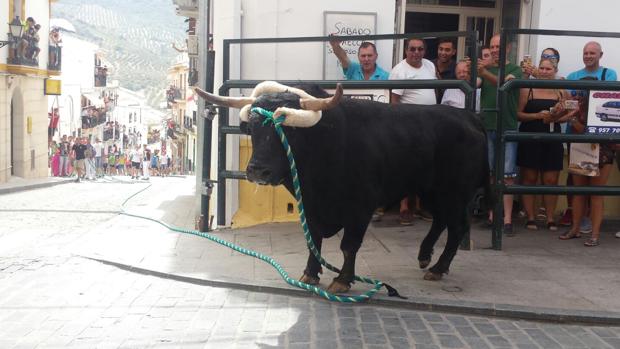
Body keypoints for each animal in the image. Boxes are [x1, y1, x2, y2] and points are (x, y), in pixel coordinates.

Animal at [199, 85, 490, 294]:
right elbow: (313, 239)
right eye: (251, 129)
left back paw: (438, 267)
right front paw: (310, 273)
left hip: (455, 192)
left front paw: (342, 279)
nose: (257, 170)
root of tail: (467, 116)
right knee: (441, 220)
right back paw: (424, 257)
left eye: (289, 130)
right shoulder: (311, 206)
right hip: (431, 191)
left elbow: (349, 245)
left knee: (457, 227)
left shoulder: (360, 206)